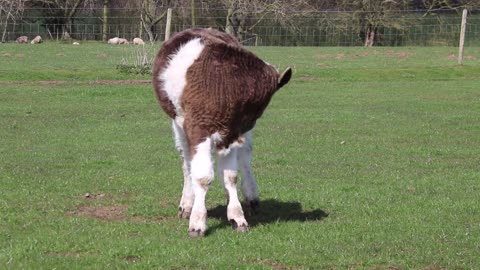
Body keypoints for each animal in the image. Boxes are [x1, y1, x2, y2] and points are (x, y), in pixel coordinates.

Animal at [152, 28, 292, 237]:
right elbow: (202, 177)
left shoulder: (231, 134)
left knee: (245, 159)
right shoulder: (198, 129)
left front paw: (237, 216)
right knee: (187, 161)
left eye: (256, 111)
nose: (242, 131)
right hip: (178, 123)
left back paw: (250, 197)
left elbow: (230, 176)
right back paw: (186, 204)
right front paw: (197, 221)